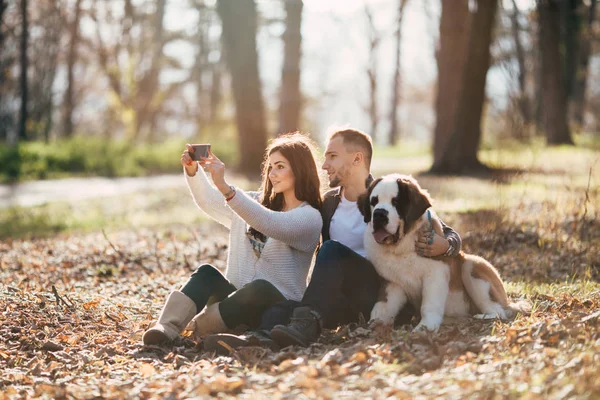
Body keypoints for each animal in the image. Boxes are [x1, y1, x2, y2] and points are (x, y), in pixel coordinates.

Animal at [356, 173, 528, 332]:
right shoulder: (392, 282)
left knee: (499, 311)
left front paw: (426, 327)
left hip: (472, 265)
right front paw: (375, 323)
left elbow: (429, 303)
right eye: (374, 202)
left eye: (396, 202)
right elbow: (383, 304)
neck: (402, 246)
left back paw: (480, 317)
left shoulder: (435, 273)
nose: (379, 214)